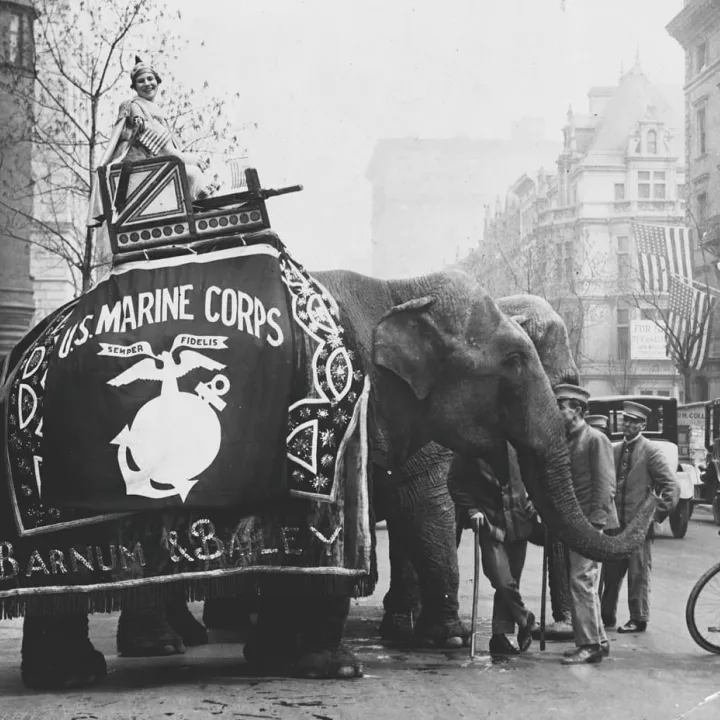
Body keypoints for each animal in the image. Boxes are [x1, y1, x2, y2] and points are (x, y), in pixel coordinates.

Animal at [5, 268, 656, 688]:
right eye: (518, 361)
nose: (537, 632)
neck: (401, 286)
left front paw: (276, 657)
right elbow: (399, 509)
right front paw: (348, 665)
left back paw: (72, 671)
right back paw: (126, 658)